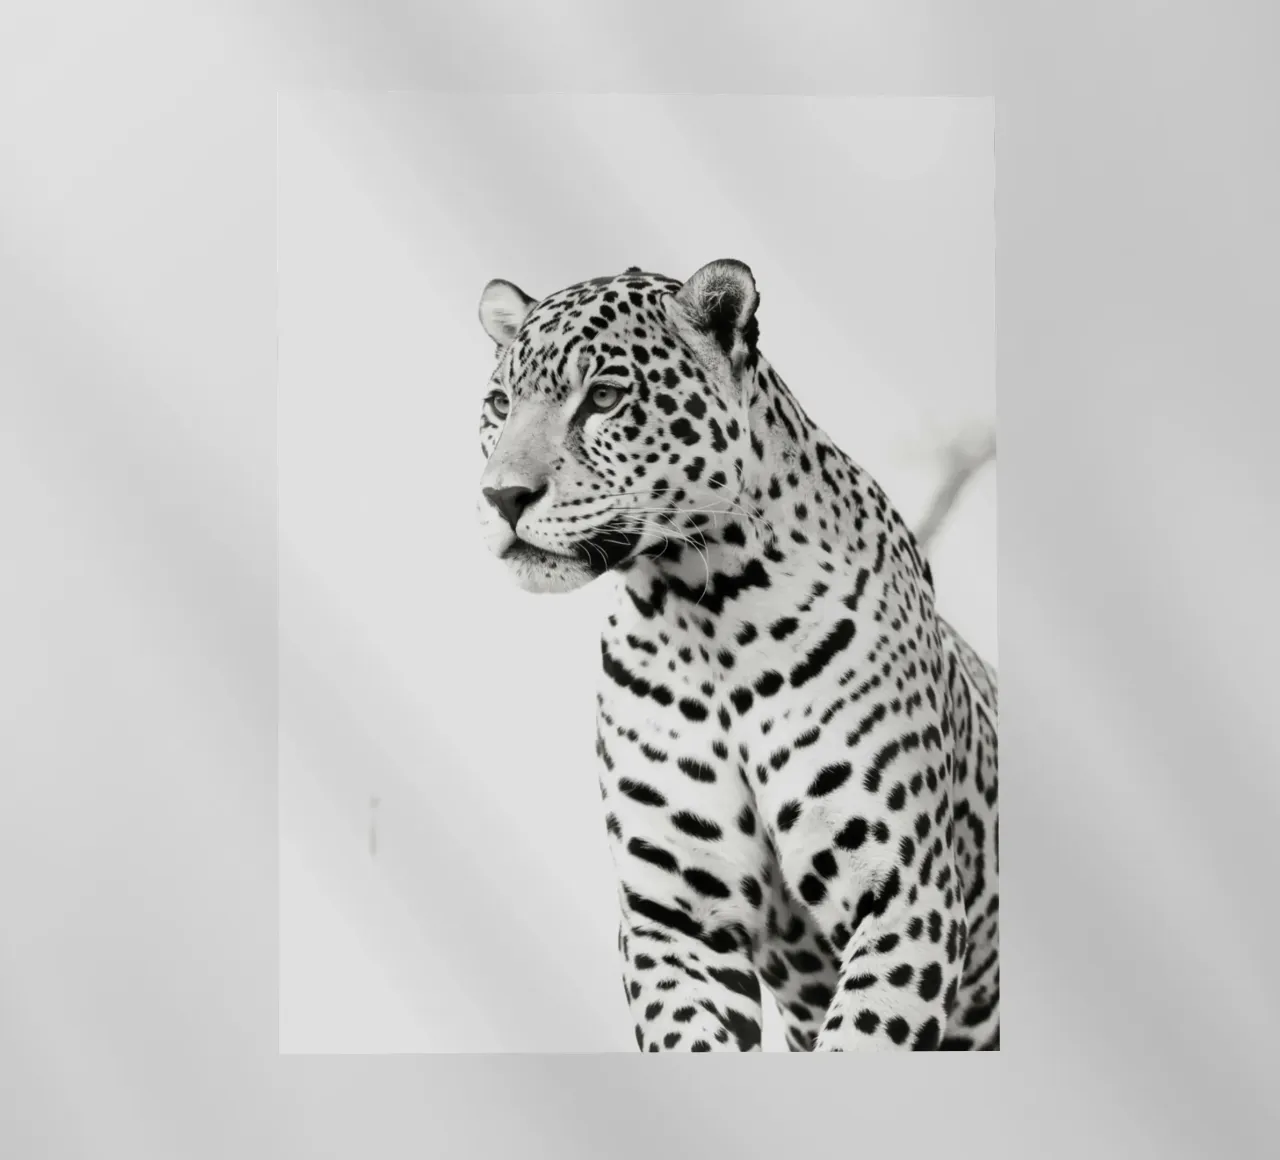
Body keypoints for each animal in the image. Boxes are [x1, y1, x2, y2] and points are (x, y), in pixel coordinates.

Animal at [473, 260, 998, 1051]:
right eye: (500, 404)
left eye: (603, 398)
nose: (503, 497)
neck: (703, 612)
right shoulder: (675, 920)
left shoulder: (907, 894)